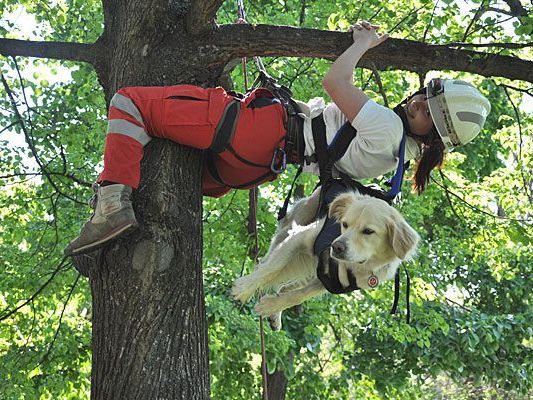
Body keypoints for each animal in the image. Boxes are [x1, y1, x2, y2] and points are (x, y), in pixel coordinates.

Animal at [231, 189, 418, 330]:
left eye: (368, 231)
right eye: (344, 224)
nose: (336, 247)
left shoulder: (330, 282)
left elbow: (298, 295)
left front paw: (270, 305)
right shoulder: (300, 237)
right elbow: (272, 268)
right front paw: (243, 289)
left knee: (286, 287)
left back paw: (275, 313)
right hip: (286, 234)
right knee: (266, 263)